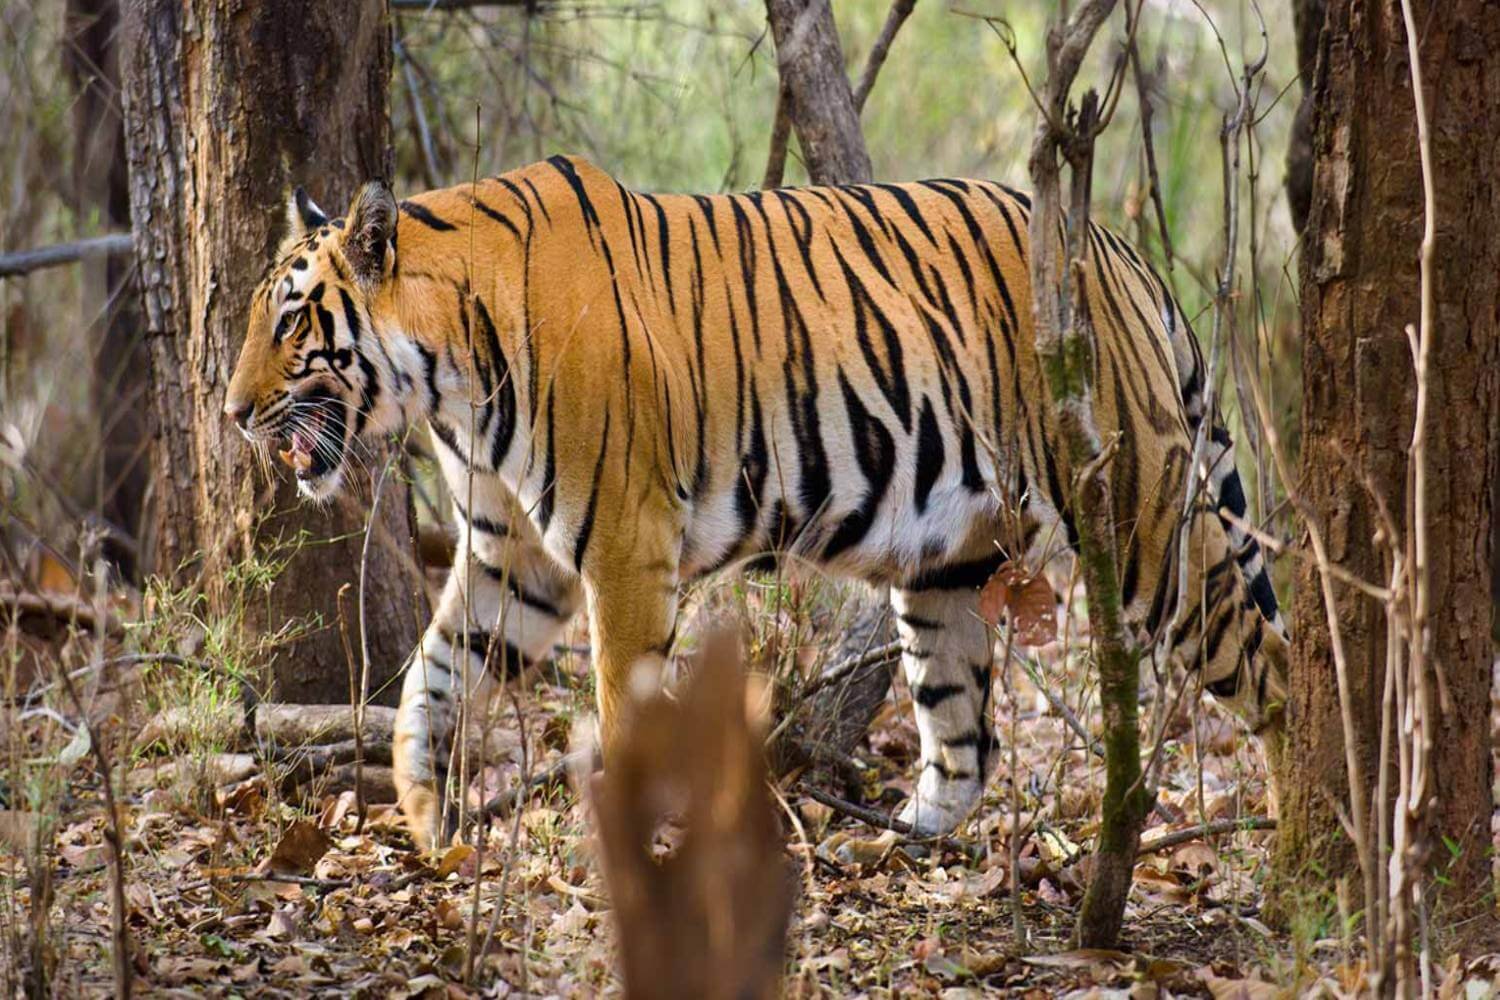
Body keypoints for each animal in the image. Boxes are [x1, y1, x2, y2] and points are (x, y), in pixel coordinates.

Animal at [222, 156, 1290, 851]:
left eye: (291, 319)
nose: (231, 413)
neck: (449, 380)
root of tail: (1114, 248)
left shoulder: (624, 545)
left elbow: (616, 703)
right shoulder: (507, 556)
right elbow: (432, 681)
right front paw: (426, 818)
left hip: (1146, 519)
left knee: (1272, 668)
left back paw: (1300, 857)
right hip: (946, 568)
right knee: (964, 736)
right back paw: (899, 846)